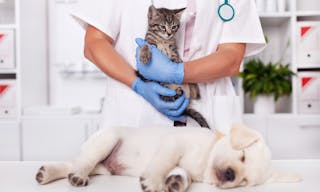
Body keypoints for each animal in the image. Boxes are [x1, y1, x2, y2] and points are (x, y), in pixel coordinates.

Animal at [36, 124, 302, 191]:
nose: (230, 175)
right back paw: (77, 176)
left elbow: (179, 174)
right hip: (107, 140)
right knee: (82, 162)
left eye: (245, 182)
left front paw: (174, 183)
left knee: (74, 163)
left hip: (103, 166)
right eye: (243, 155)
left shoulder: (185, 167)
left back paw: (46, 173)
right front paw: (153, 182)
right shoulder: (173, 144)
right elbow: (161, 164)